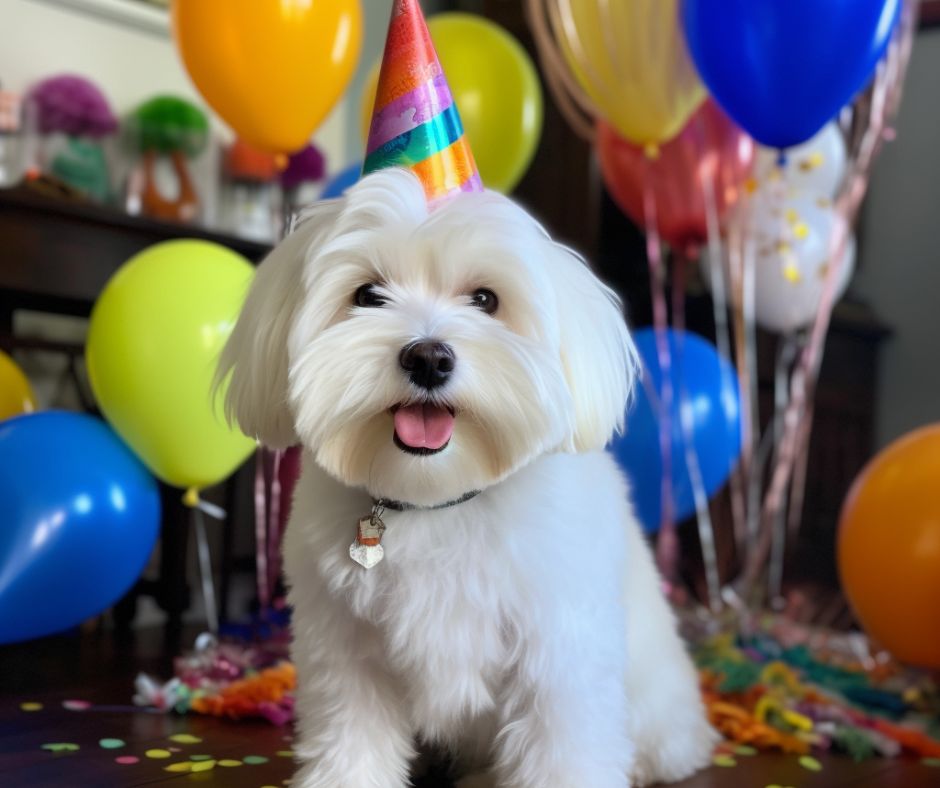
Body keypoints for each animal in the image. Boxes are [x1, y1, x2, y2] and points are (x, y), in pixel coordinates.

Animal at [220, 169, 716, 784]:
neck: (437, 498)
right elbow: (352, 732)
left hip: (654, 704)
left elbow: (561, 742)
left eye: (485, 300)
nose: (429, 358)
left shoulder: (557, 649)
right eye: (368, 295)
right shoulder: (346, 647)